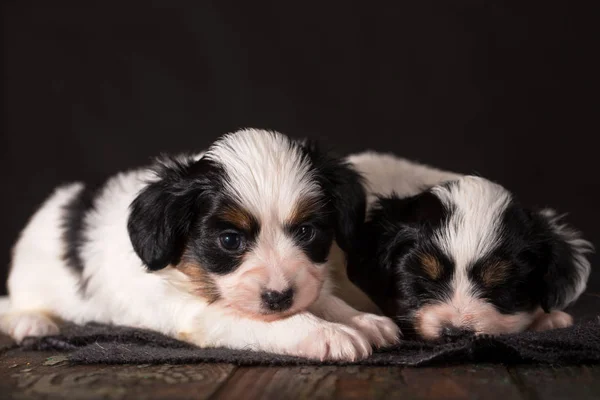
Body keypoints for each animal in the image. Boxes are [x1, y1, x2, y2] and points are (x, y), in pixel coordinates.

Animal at [2, 130, 400, 360]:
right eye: (229, 240)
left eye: (306, 232)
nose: (279, 298)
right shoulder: (202, 314)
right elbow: (273, 321)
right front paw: (325, 333)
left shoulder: (304, 281)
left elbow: (323, 299)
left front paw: (361, 320)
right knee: (17, 303)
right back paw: (30, 322)